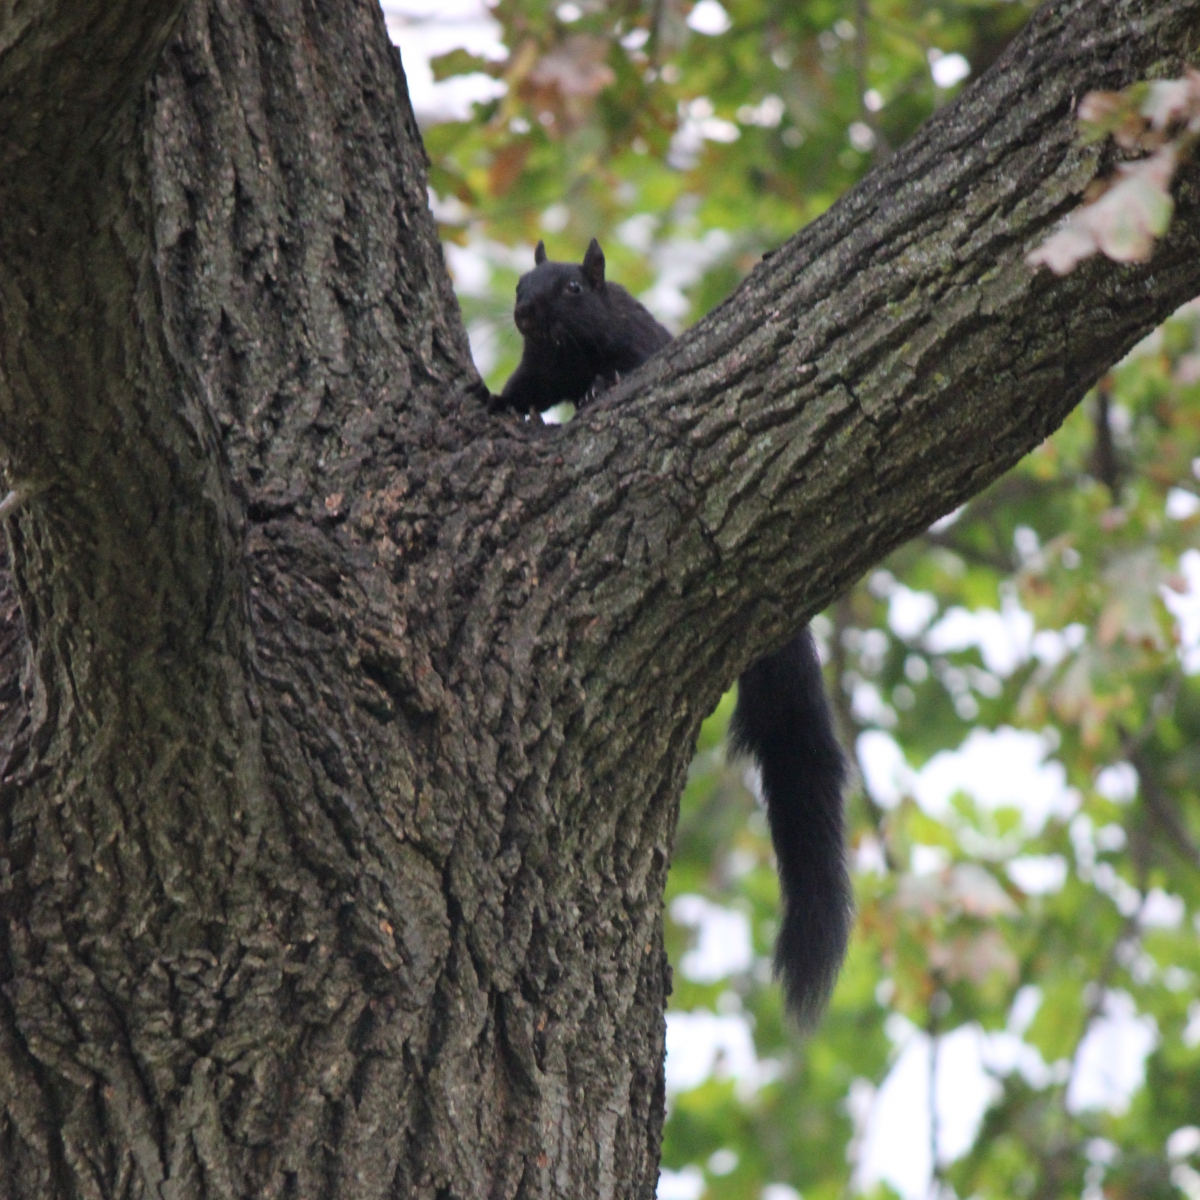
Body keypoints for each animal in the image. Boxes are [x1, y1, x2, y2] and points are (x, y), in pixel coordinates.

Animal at [496, 238, 854, 1027]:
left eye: (573, 288)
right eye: (521, 282)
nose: (525, 312)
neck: (570, 352)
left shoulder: (635, 348)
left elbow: (616, 374)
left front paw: (599, 389)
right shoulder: (538, 370)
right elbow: (520, 393)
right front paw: (499, 405)